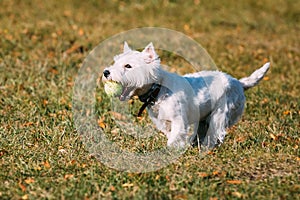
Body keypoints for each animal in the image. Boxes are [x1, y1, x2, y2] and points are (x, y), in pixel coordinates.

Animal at [102, 41, 270, 148]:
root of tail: (239, 83)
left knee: (217, 131)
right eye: (115, 63)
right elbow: (171, 134)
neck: (158, 89)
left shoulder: (178, 118)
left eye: (128, 66)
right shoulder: (163, 122)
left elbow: (176, 135)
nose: (106, 72)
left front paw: (171, 149)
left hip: (221, 112)